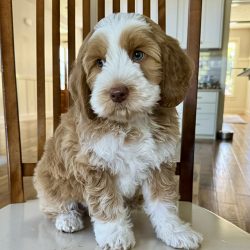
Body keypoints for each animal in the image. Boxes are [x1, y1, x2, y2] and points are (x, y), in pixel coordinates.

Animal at [33, 12, 203, 249]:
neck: (129, 122)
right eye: (100, 62)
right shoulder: (95, 166)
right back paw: (67, 218)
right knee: (56, 203)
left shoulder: (159, 164)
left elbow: (164, 202)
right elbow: (107, 204)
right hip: (48, 179)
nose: (117, 92)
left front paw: (175, 231)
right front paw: (115, 235)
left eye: (138, 55)